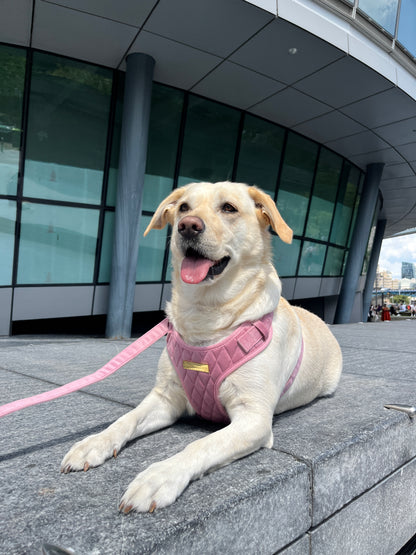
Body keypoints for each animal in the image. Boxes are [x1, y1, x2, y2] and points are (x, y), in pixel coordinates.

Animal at [61, 185, 342, 516]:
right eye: (184, 207)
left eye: (229, 208)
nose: (188, 226)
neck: (206, 317)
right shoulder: (166, 397)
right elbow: (126, 419)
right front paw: (94, 443)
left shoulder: (253, 418)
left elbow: (201, 444)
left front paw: (159, 476)